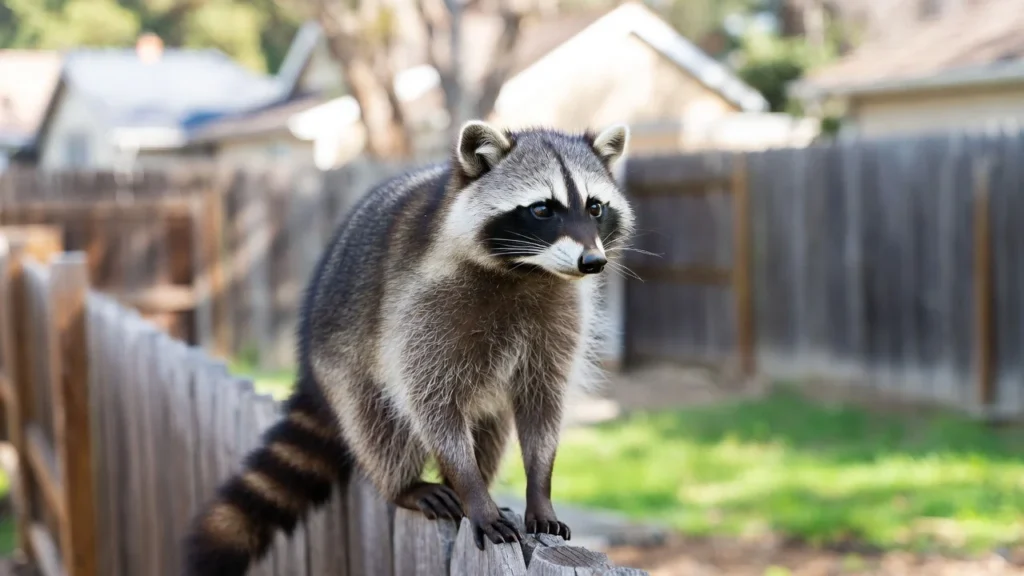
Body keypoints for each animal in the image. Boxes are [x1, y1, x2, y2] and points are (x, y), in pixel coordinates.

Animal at [182, 120, 636, 575]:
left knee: (491, 425)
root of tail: (308, 366)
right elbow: (430, 403)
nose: (593, 262)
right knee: (377, 422)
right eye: (542, 209)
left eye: (595, 207)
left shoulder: (559, 316)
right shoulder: (420, 307)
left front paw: (539, 489)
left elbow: (543, 401)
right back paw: (405, 485)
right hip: (342, 355)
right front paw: (471, 487)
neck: (525, 270)